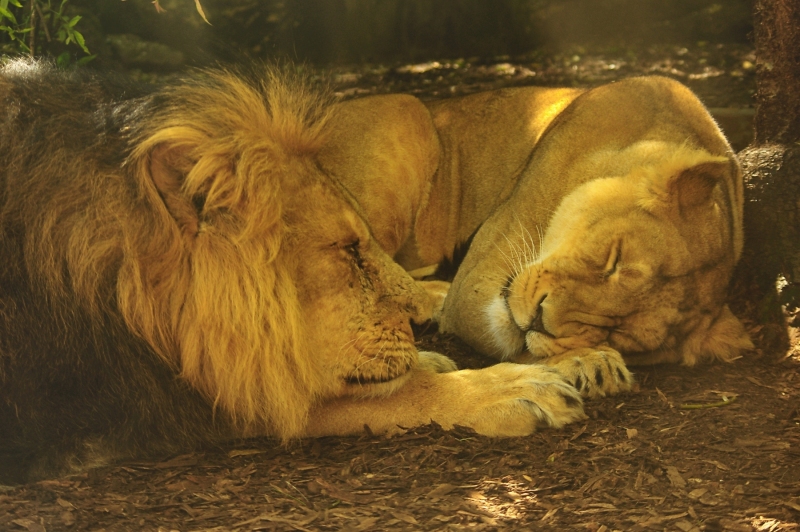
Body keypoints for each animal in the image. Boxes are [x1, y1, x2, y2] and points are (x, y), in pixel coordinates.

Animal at [324, 76, 752, 399]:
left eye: (618, 331)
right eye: (614, 260)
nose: (540, 320)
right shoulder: (477, 278)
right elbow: (507, 342)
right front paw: (588, 362)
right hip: (407, 111)